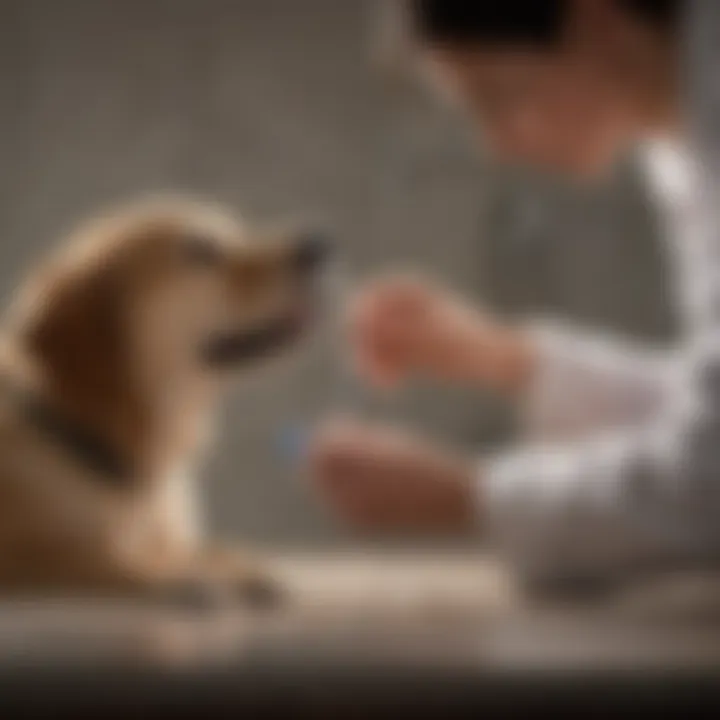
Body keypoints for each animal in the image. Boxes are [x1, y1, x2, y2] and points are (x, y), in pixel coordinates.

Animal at [0, 197, 326, 608]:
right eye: (201, 249)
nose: (318, 245)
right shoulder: (28, 552)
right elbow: (99, 558)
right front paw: (180, 577)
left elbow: (202, 550)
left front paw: (234, 567)